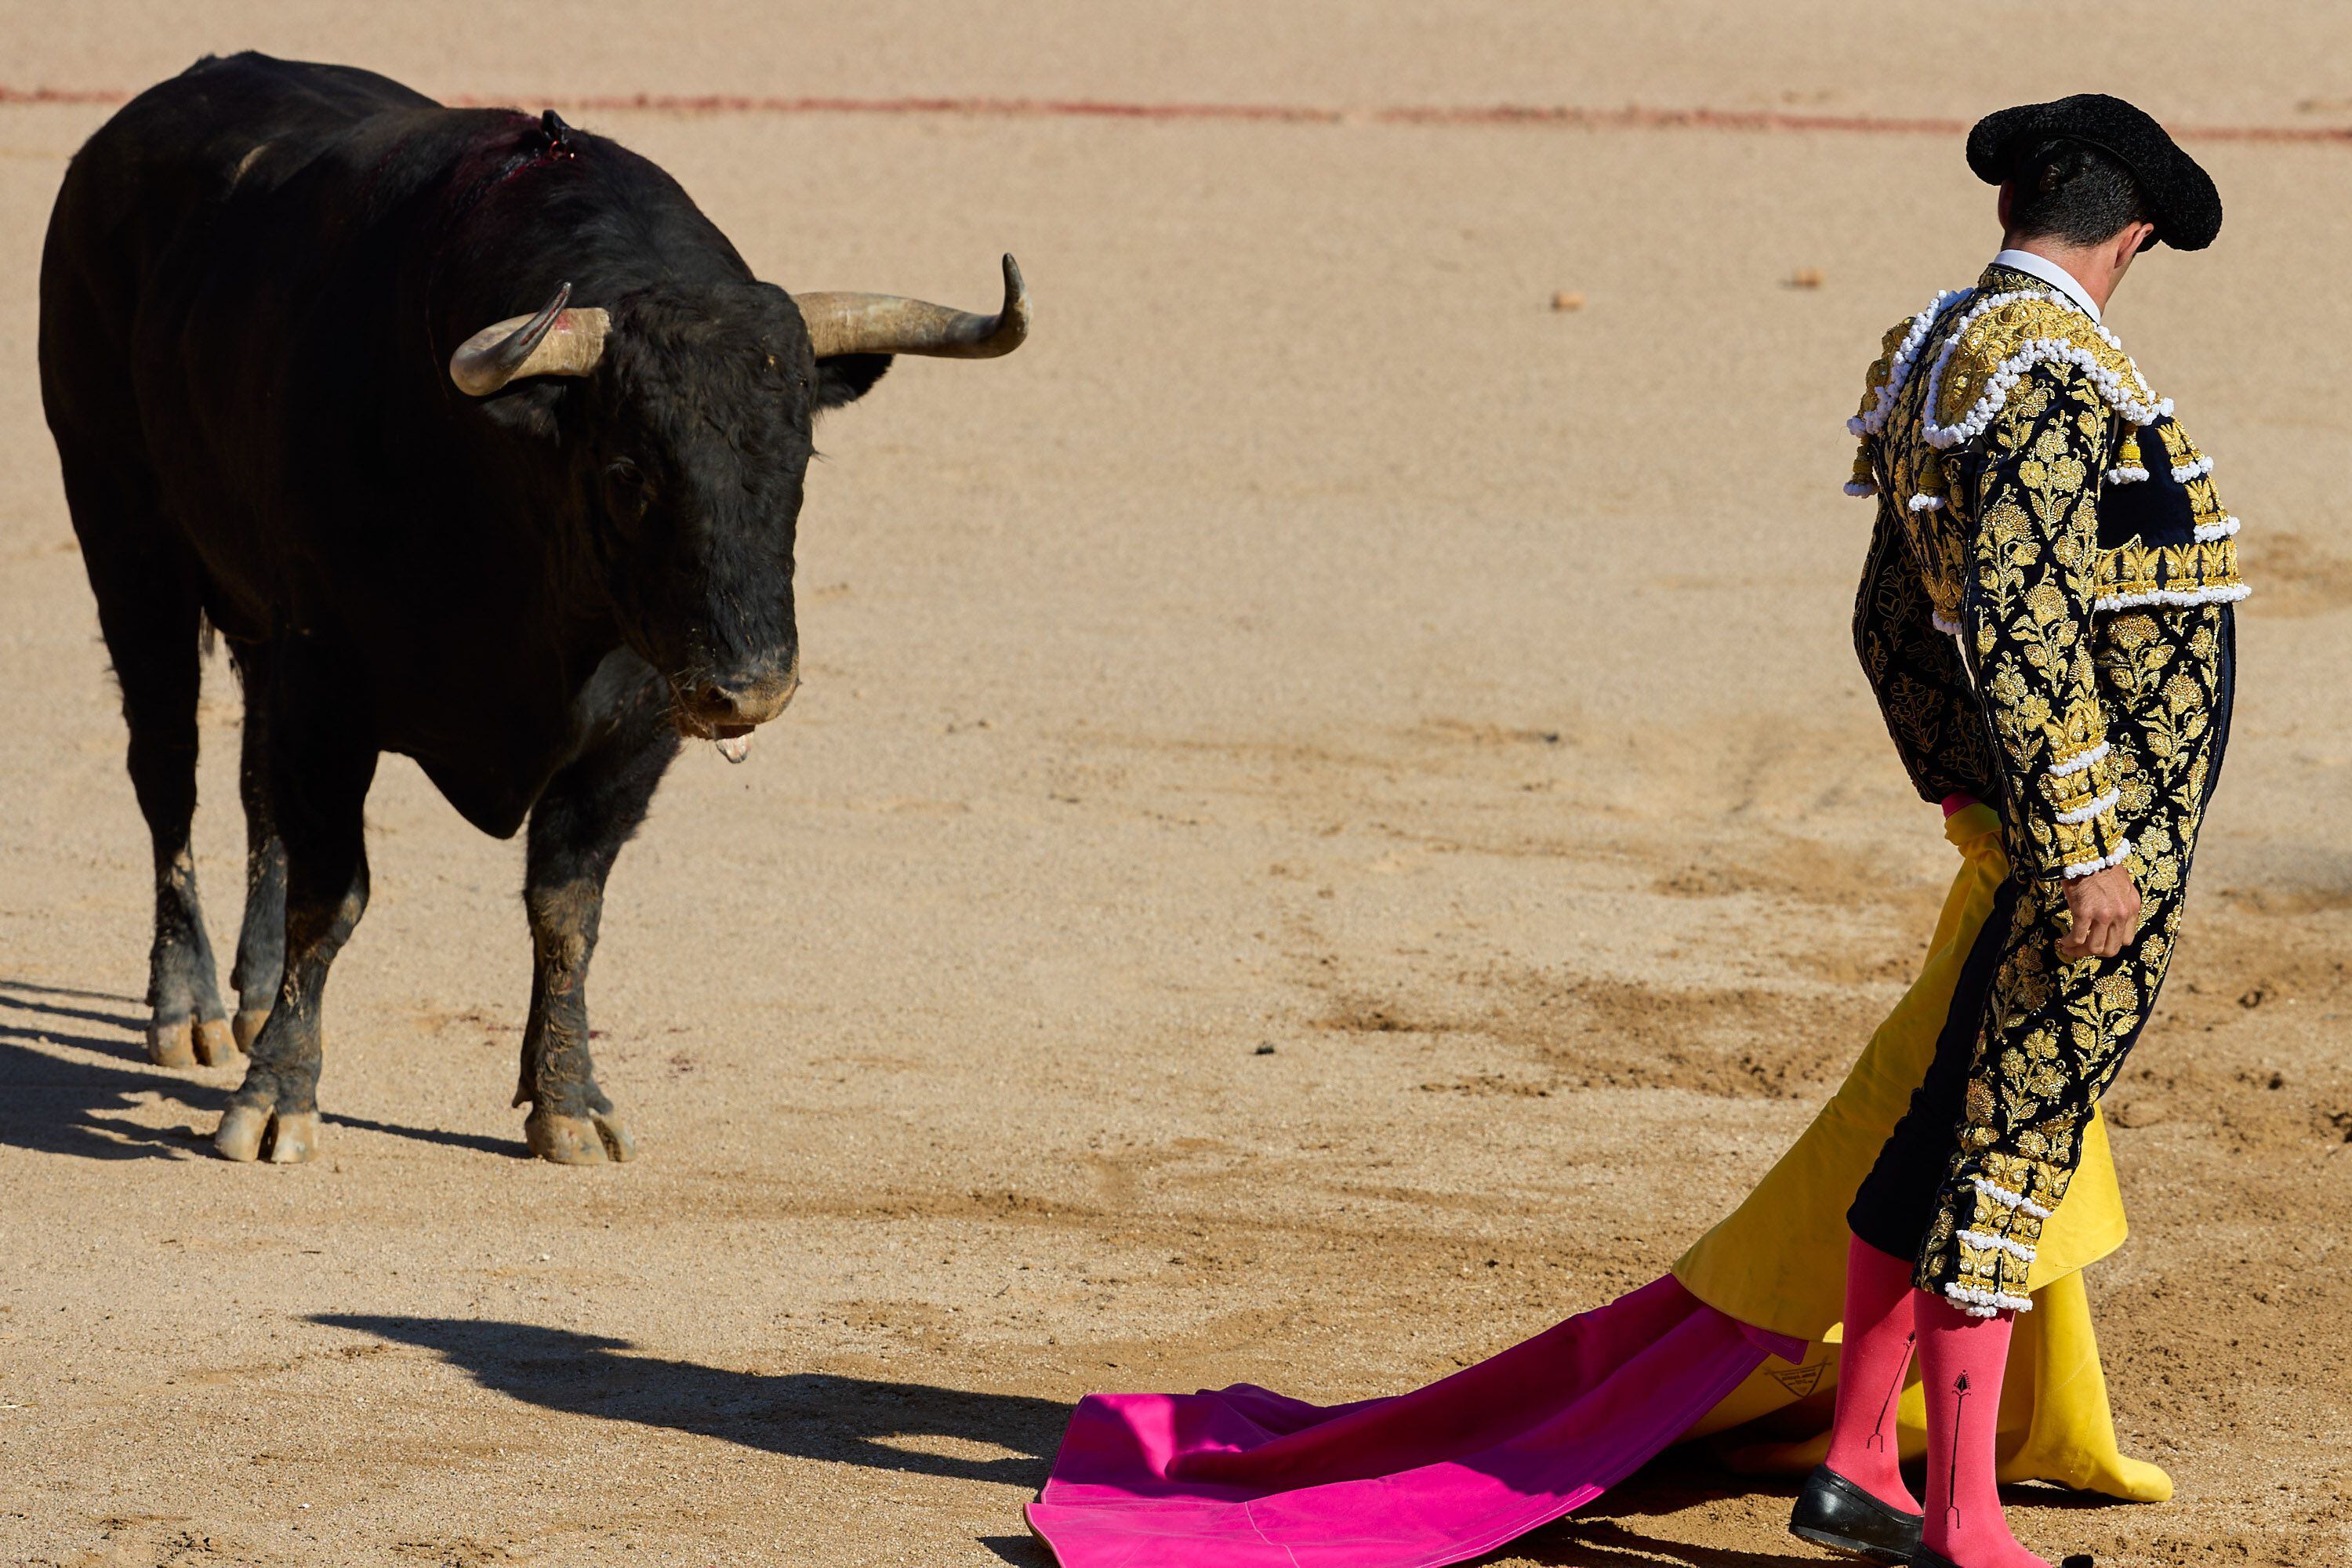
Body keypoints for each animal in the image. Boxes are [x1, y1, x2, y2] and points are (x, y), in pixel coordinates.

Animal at [36, 55, 1030, 1166]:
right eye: (629, 473)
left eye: (802, 457)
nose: (748, 692)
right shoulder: (329, 688)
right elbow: (333, 896)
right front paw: (277, 1097)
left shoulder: (635, 720)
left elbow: (566, 903)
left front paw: (568, 1099)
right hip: (127, 538)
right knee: (167, 766)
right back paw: (191, 1005)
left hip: (257, 618)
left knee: (254, 784)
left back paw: (251, 996)